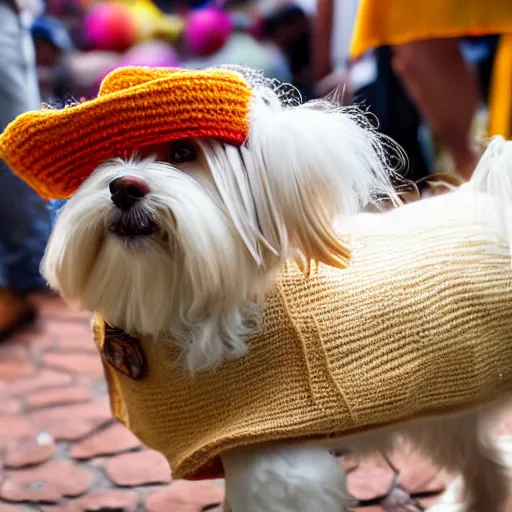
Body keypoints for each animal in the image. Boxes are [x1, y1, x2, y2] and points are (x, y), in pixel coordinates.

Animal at [43, 75, 512, 512]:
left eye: (182, 153)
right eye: (106, 159)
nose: (123, 187)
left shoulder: (275, 467)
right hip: (449, 413)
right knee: (489, 468)